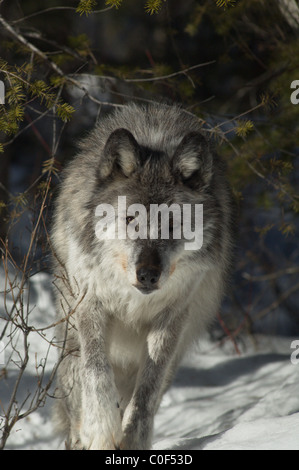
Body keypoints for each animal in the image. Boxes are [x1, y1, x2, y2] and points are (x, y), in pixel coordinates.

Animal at [51, 102, 234, 448]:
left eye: (173, 223)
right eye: (130, 217)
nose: (148, 275)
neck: (131, 297)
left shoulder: (171, 319)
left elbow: (146, 393)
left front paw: (132, 439)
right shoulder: (91, 305)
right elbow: (96, 371)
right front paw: (102, 429)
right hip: (69, 345)